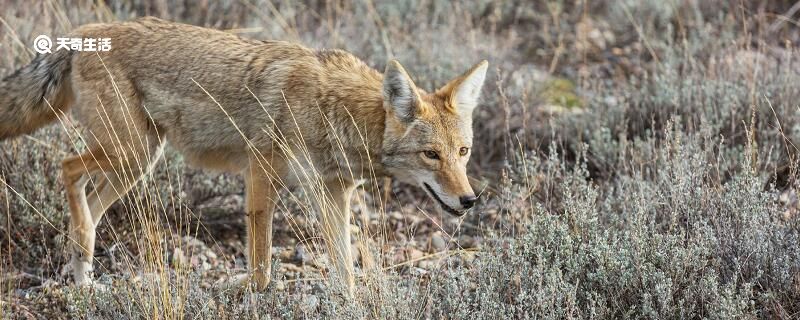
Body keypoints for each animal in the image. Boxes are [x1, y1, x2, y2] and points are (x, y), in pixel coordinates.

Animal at [0, 16, 488, 292]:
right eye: (431, 155)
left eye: (462, 152)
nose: (469, 200)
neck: (336, 110)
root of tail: (81, 34)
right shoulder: (260, 174)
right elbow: (263, 265)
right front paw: (254, 295)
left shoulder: (334, 193)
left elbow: (344, 267)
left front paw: (349, 302)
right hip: (131, 154)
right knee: (67, 168)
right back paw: (81, 257)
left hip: (137, 163)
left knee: (88, 199)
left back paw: (83, 274)